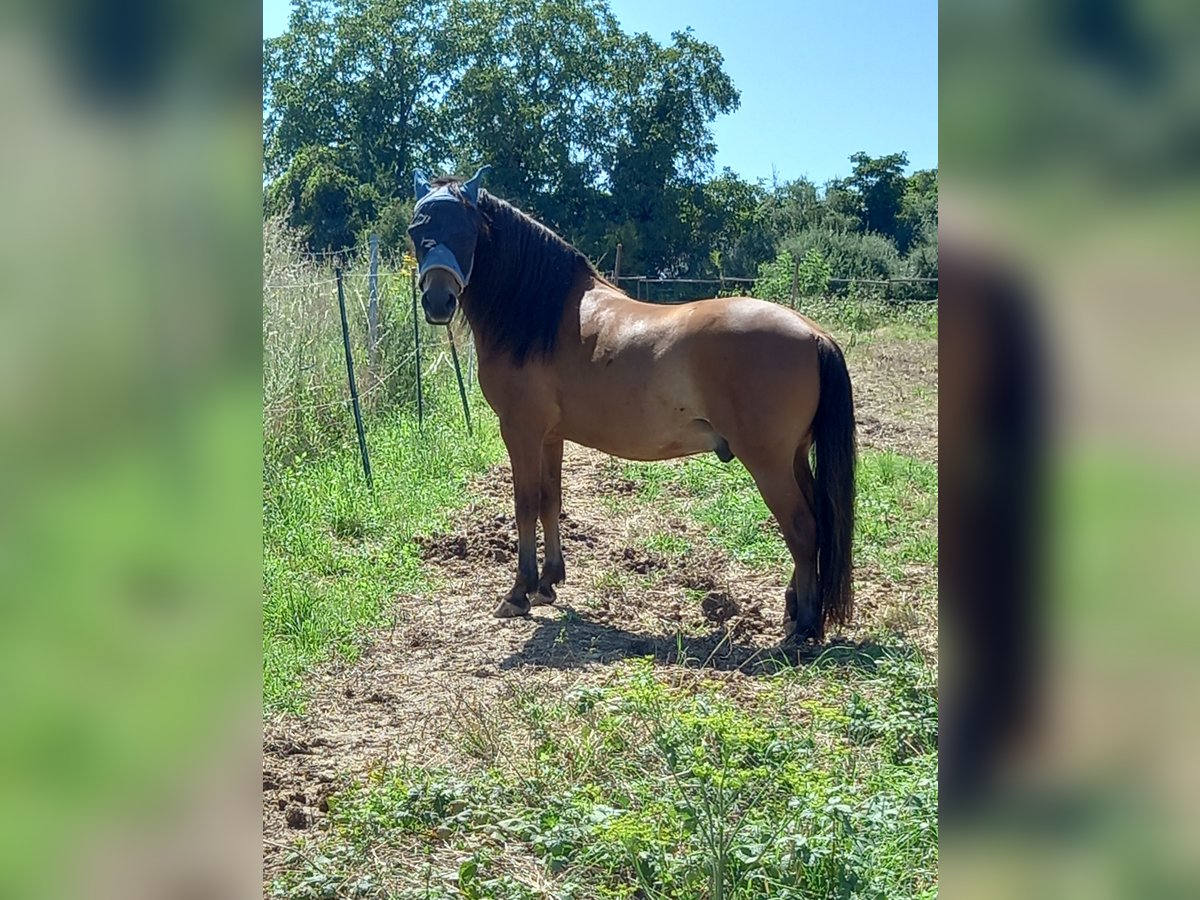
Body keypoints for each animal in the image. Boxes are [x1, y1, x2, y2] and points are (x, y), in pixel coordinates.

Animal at [408, 168, 859, 648]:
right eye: (418, 232)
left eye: (465, 232)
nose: (438, 301)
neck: (542, 315)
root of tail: (813, 334)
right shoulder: (550, 437)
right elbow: (551, 501)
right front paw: (548, 582)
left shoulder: (520, 432)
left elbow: (525, 504)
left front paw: (519, 592)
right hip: (793, 458)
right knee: (817, 522)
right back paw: (795, 614)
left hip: (768, 463)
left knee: (802, 528)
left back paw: (805, 627)